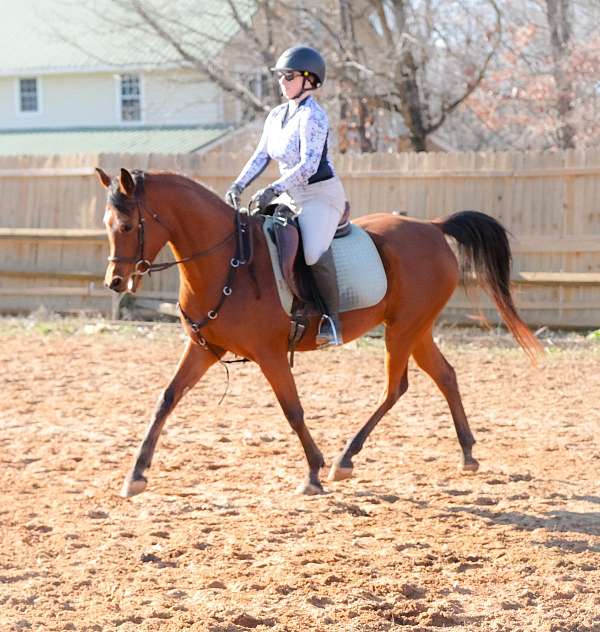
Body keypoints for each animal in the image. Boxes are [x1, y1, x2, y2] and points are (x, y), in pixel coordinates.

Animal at [96, 168, 540, 498]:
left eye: (128, 225)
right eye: (107, 225)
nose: (114, 282)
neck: (227, 261)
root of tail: (432, 227)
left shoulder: (270, 354)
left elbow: (292, 409)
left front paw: (312, 471)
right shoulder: (204, 349)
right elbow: (166, 399)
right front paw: (136, 475)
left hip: (404, 330)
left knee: (396, 387)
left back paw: (345, 459)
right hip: (416, 329)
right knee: (444, 375)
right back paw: (466, 453)